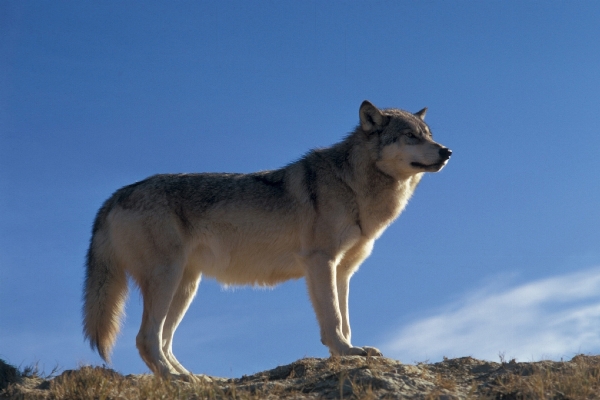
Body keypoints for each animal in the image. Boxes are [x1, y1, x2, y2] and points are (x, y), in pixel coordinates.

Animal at [83, 100, 450, 378]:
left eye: (429, 136)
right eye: (410, 137)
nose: (447, 151)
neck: (352, 185)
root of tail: (115, 196)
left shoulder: (343, 271)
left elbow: (344, 320)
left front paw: (349, 351)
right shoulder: (320, 262)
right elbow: (332, 319)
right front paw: (346, 353)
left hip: (185, 287)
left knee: (163, 340)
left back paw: (193, 377)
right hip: (167, 280)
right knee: (146, 339)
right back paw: (174, 379)